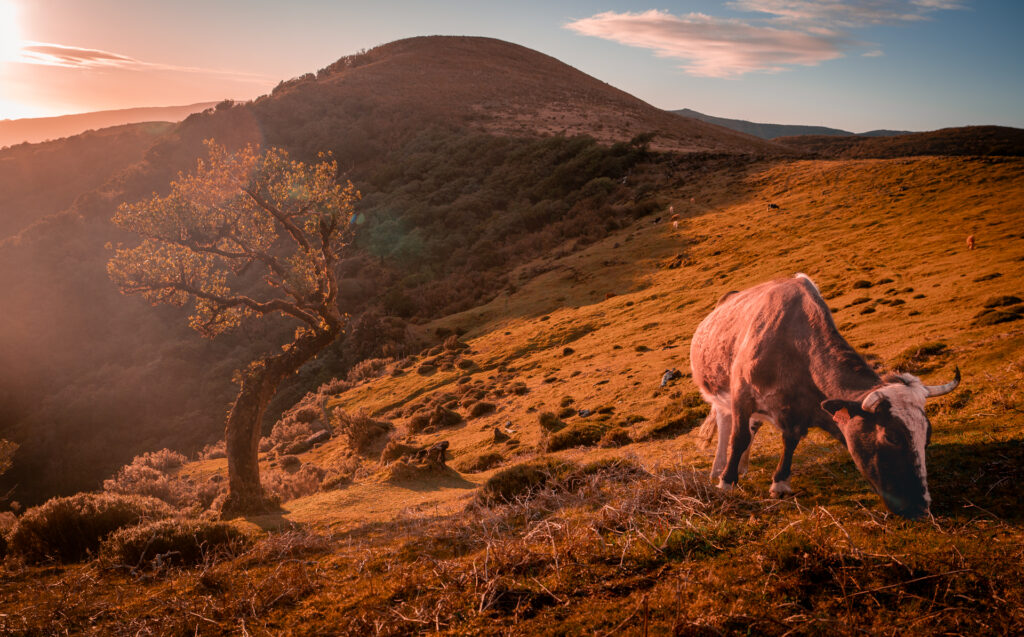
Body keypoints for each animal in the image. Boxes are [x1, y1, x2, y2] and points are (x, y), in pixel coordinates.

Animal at [689, 274, 960, 518]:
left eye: (927, 436)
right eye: (892, 437)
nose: (921, 508)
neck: (794, 345)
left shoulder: (800, 410)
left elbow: (789, 441)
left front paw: (780, 483)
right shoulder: (742, 394)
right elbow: (738, 437)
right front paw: (727, 482)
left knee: (753, 427)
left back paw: (743, 467)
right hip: (720, 393)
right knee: (726, 425)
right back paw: (719, 469)